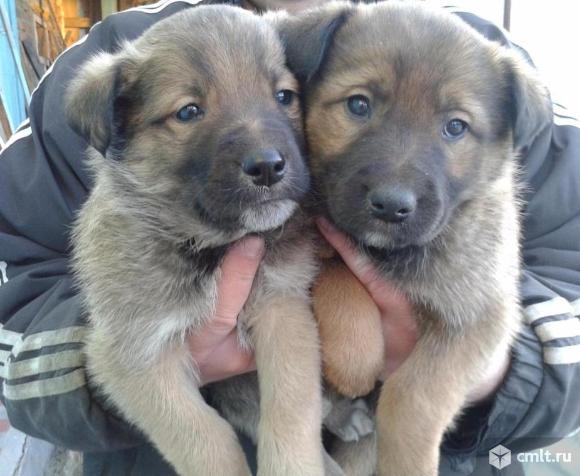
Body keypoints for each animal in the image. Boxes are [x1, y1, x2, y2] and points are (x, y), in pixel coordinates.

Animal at [65, 4, 326, 476]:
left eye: (284, 96)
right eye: (188, 112)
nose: (268, 166)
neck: (208, 246)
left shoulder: (283, 306)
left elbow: (291, 409)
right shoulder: (131, 354)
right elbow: (202, 437)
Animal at [278, 1, 552, 474]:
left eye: (455, 127)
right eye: (358, 104)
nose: (391, 205)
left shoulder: (481, 315)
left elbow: (412, 397)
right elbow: (337, 270)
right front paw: (354, 358)